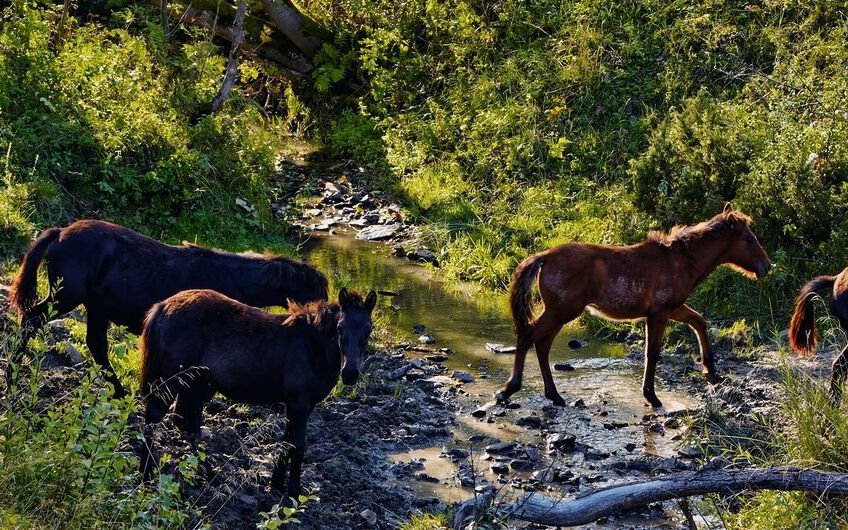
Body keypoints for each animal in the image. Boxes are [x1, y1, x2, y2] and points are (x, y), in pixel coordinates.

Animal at [8, 220, 328, 396]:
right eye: (318, 291)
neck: (228, 276)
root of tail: (61, 232)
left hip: (95, 307)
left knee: (96, 345)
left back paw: (119, 392)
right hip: (65, 298)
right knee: (31, 320)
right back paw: (12, 373)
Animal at [140, 287, 376, 499]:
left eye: (368, 330)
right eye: (340, 328)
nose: (350, 374)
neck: (312, 346)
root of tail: (164, 306)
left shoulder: (304, 405)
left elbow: (287, 441)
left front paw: (277, 484)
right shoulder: (299, 402)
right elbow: (298, 446)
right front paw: (293, 493)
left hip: (196, 383)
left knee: (185, 422)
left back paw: (209, 474)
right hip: (174, 379)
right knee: (155, 416)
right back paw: (147, 474)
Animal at [497, 205, 772, 409]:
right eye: (749, 240)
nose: (767, 267)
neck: (682, 261)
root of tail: (544, 257)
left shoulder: (673, 309)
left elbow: (699, 322)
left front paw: (710, 369)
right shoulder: (659, 313)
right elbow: (653, 352)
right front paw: (651, 396)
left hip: (560, 312)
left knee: (542, 344)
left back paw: (554, 395)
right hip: (561, 311)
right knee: (528, 335)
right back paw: (509, 389)